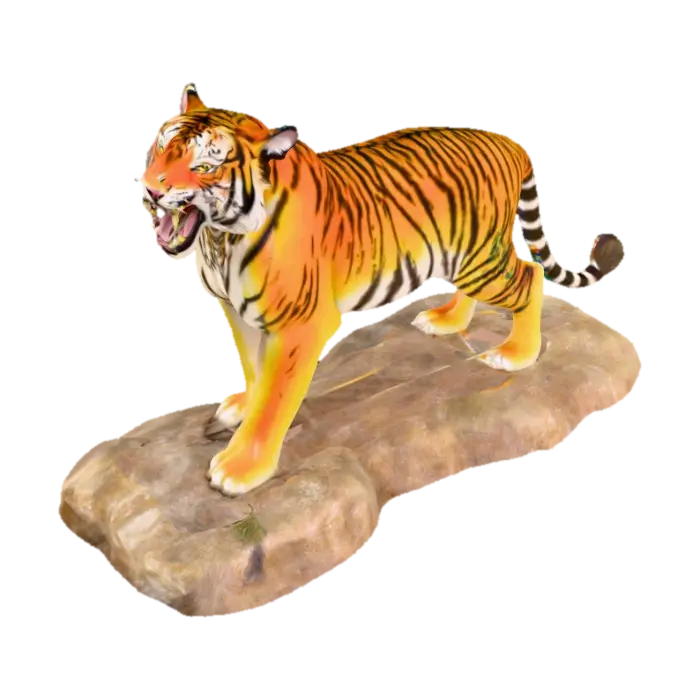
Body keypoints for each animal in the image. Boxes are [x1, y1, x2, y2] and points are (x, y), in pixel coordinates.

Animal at [137, 82, 625, 497]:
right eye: (160, 148)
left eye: (204, 166)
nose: (149, 190)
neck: (218, 239)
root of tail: (510, 140)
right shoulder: (233, 309)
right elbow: (251, 367)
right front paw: (240, 405)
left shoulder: (300, 324)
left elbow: (274, 399)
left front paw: (241, 468)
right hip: (465, 251)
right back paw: (446, 320)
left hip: (482, 261)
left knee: (531, 276)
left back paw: (517, 354)